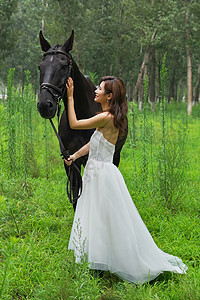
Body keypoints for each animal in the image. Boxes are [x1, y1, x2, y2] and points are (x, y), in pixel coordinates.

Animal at [37, 29, 127, 210]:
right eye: (40, 67)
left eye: (64, 66)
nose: (44, 105)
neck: (83, 113)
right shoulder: (71, 162)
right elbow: (75, 198)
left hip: (115, 155)